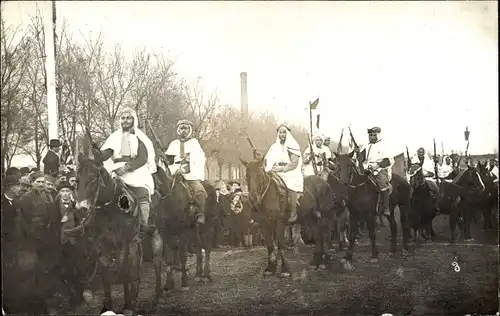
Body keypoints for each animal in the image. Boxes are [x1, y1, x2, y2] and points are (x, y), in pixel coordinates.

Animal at [63, 152, 144, 314]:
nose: (81, 209)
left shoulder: (126, 243)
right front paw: (107, 306)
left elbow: (125, 271)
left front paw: (128, 305)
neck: (109, 210)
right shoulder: (100, 245)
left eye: (94, 177)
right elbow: (105, 274)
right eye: (76, 181)